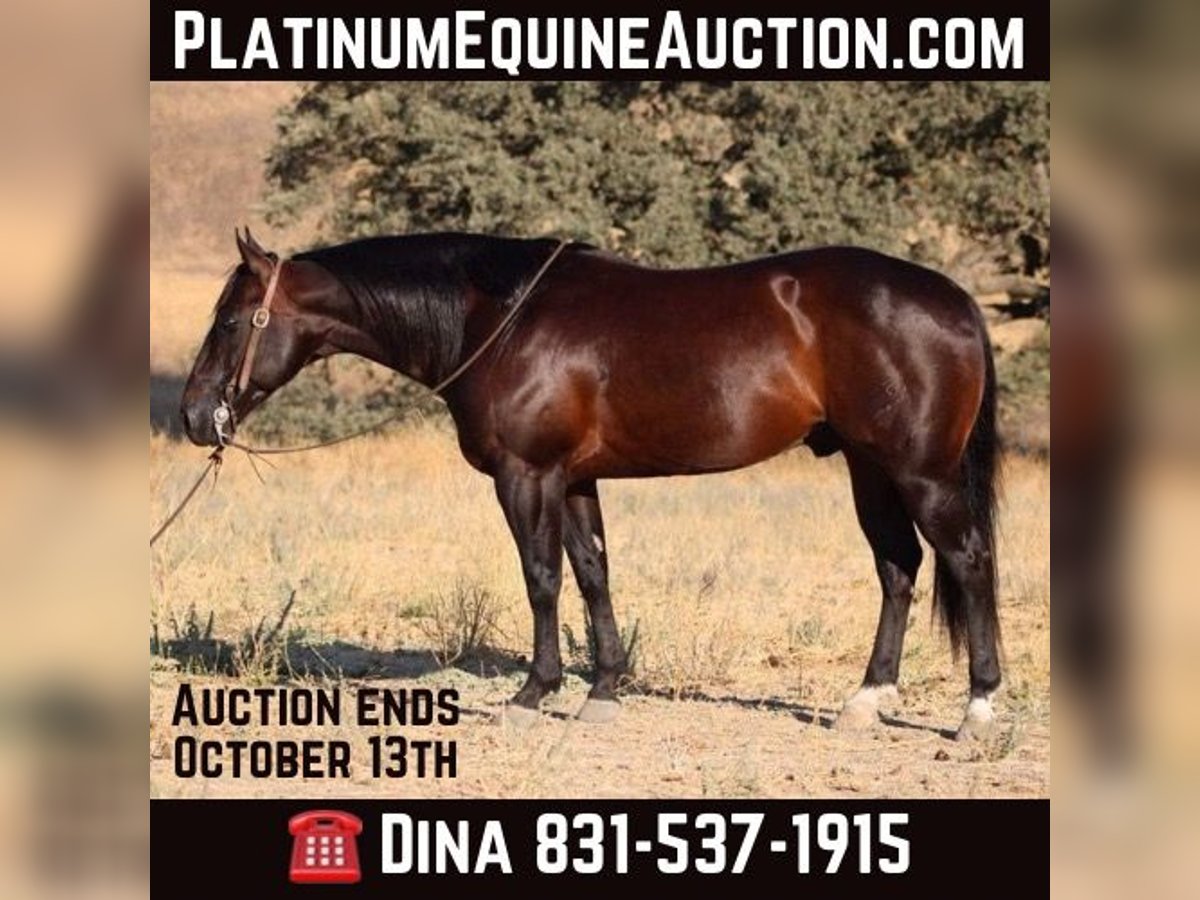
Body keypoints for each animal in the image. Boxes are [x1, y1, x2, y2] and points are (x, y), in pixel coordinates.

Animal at [181, 229, 1002, 740]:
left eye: (230, 321)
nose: (194, 415)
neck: (500, 318)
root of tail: (957, 301)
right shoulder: (576, 481)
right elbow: (593, 574)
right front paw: (603, 692)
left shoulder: (527, 476)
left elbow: (542, 578)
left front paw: (532, 695)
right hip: (870, 468)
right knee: (899, 568)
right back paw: (866, 701)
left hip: (921, 473)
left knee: (968, 562)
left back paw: (979, 709)